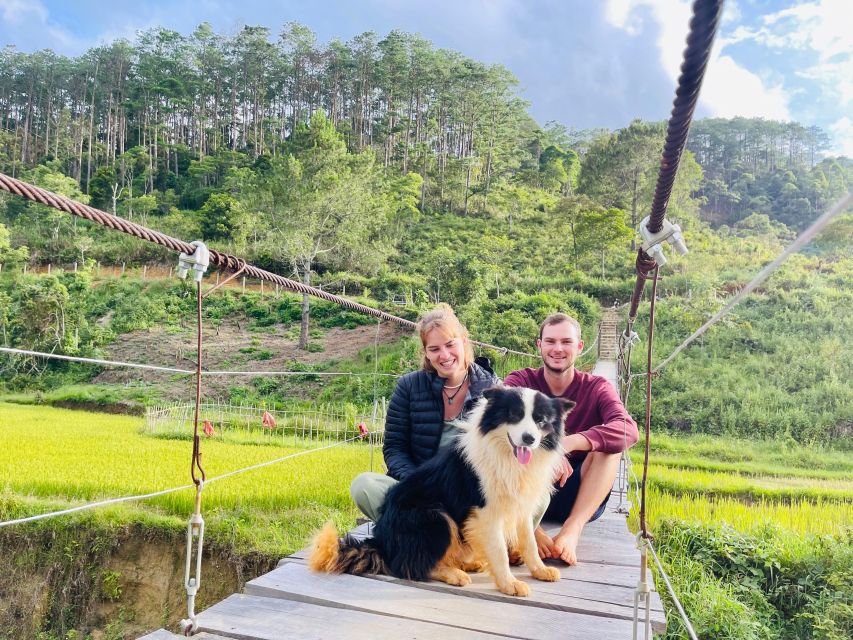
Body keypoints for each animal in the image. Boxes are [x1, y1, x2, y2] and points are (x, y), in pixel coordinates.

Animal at [308, 388, 572, 596]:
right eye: (514, 415)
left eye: (541, 420)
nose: (529, 439)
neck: (507, 456)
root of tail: (382, 541)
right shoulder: (485, 512)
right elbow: (499, 551)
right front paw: (510, 584)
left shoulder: (520, 507)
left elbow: (529, 542)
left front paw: (539, 570)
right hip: (434, 515)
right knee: (409, 565)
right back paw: (454, 574)